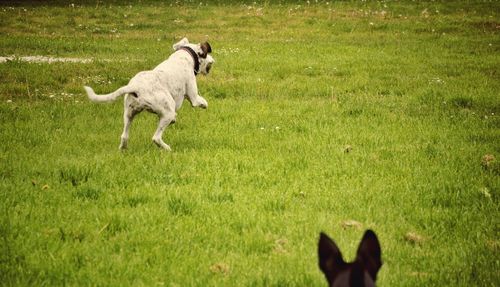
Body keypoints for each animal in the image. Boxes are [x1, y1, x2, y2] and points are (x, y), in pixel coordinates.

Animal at [84, 38, 213, 152]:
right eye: (206, 54)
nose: (213, 59)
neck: (185, 56)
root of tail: (136, 87)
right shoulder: (194, 97)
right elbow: (201, 101)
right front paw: (204, 104)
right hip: (167, 112)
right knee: (156, 137)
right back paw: (167, 148)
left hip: (129, 114)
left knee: (124, 136)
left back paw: (123, 149)